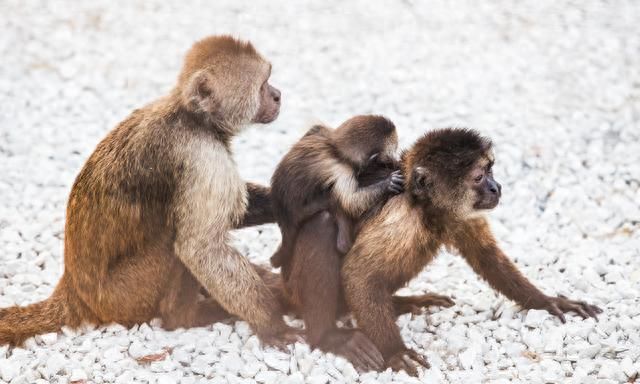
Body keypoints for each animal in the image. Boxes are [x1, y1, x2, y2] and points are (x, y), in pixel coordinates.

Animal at [0, 36, 300, 346]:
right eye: (264, 84)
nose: (277, 95)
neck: (194, 119)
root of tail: (72, 291)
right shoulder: (202, 157)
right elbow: (200, 249)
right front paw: (271, 323)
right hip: (123, 297)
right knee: (174, 242)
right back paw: (185, 317)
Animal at [342, 128, 604, 376]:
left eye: (491, 171)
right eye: (479, 177)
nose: (496, 187)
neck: (424, 207)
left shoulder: (461, 215)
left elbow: (487, 257)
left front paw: (548, 301)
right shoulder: (399, 221)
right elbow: (359, 276)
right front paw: (396, 352)